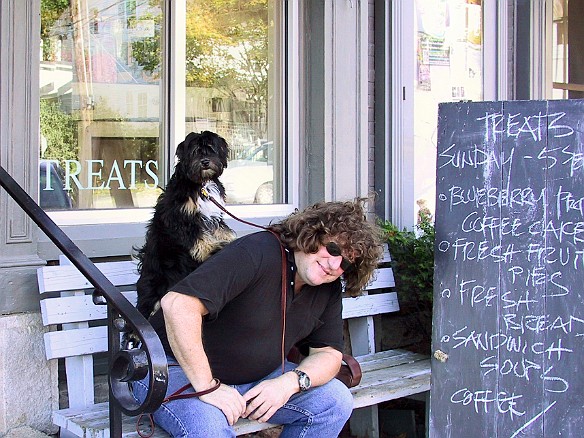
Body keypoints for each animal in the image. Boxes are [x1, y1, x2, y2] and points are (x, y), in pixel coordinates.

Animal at [136, 130, 236, 318]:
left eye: (211, 149)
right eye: (195, 151)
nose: (205, 162)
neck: (201, 184)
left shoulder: (213, 216)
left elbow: (221, 229)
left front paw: (229, 240)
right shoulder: (180, 219)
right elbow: (197, 237)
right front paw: (211, 248)